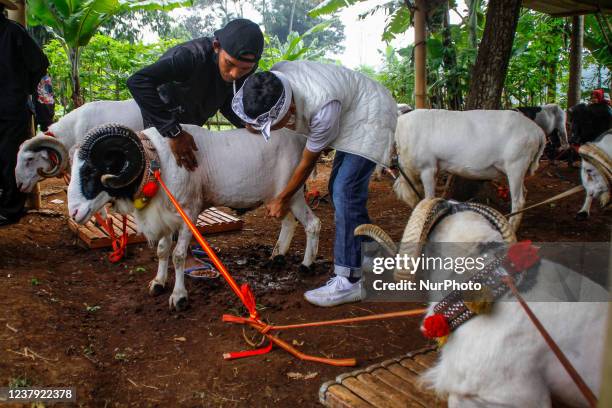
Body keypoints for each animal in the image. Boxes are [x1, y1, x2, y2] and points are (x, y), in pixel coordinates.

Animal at [68, 123, 320, 310]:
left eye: (91, 170)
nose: (74, 213)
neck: (156, 164)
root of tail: (300, 140)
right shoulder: (165, 217)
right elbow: (162, 251)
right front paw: (158, 283)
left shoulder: (189, 213)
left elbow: (178, 255)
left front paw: (179, 297)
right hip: (277, 199)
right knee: (289, 223)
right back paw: (277, 256)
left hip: (294, 194)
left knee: (313, 224)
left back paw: (306, 265)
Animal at [394, 109, 548, 230]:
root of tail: (538, 132)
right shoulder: (435, 169)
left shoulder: (427, 167)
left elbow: (429, 198)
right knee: (524, 192)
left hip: (516, 164)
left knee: (518, 201)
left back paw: (511, 226)